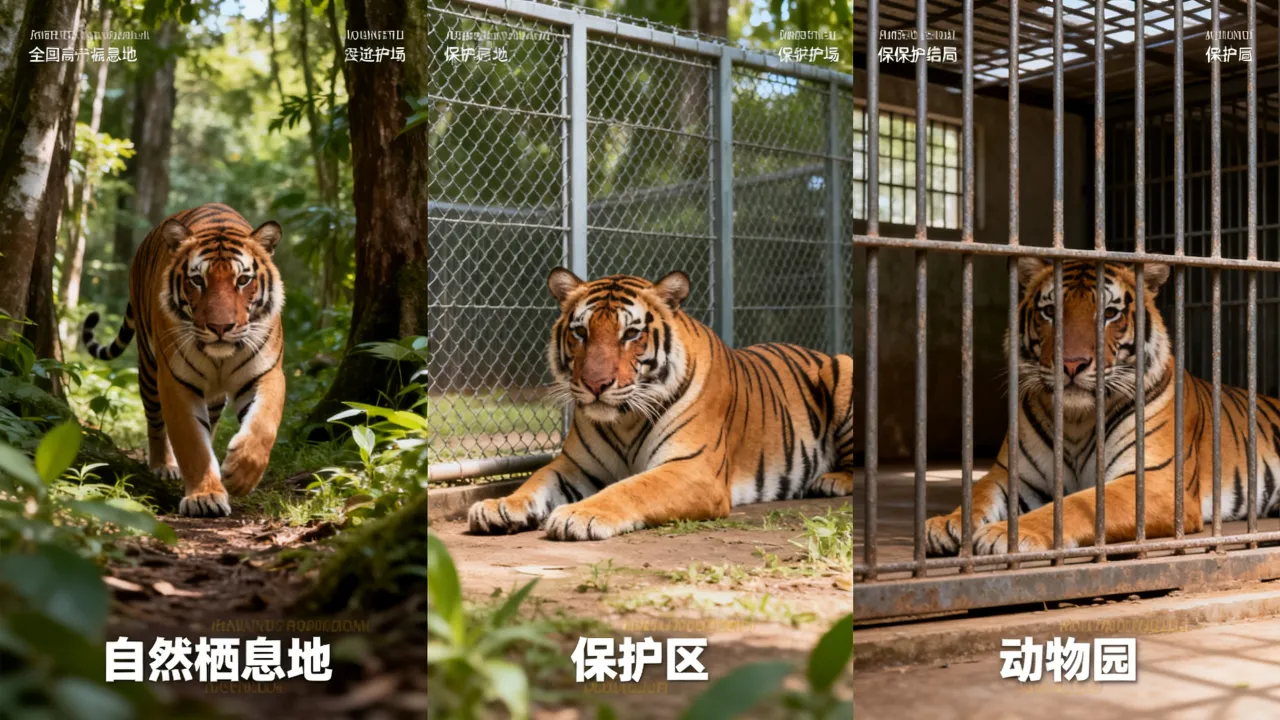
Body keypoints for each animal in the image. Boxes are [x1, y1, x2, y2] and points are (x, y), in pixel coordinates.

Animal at [82, 203, 286, 518]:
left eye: (243, 280)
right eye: (197, 280)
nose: (220, 327)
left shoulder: (266, 372)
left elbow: (264, 423)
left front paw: (240, 475)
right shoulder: (175, 382)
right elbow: (191, 443)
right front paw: (205, 496)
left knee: (211, 422)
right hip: (149, 369)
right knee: (155, 421)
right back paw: (163, 466)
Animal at [468, 268, 855, 541]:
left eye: (631, 334)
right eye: (580, 332)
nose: (595, 384)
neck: (624, 420)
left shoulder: (691, 468)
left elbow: (630, 487)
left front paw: (579, 514)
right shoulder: (574, 466)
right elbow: (535, 481)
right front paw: (499, 505)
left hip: (844, 366)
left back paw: (831, 481)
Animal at [926, 257, 1280, 556]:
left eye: (1110, 313)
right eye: (1050, 311)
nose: (1072, 364)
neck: (1076, 418)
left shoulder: (1155, 480)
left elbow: (1074, 505)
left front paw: (1005, 535)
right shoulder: (1012, 474)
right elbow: (979, 493)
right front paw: (945, 524)